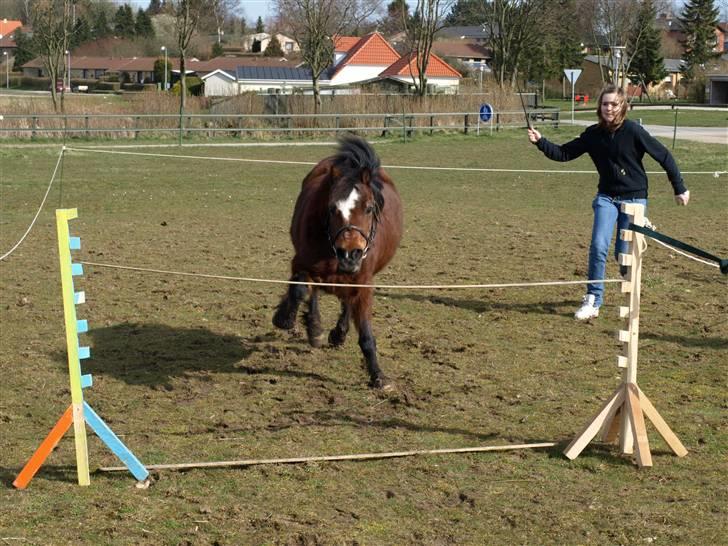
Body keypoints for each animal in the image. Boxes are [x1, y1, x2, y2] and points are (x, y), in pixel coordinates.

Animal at [272, 133, 404, 386]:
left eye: (369, 208)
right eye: (332, 208)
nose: (350, 253)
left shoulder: (363, 282)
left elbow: (364, 331)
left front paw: (377, 375)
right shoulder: (302, 264)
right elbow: (300, 290)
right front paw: (286, 318)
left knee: (346, 304)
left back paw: (338, 333)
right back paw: (315, 328)